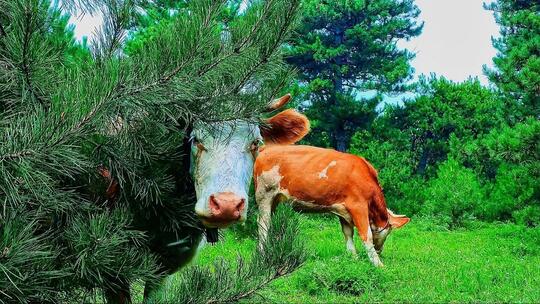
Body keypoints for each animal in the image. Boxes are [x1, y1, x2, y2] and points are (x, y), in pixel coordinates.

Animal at [255, 145, 412, 266]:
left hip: (275, 200)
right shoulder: (358, 206)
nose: (379, 250)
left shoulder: (343, 209)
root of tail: (267, 148)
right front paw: (378, 264)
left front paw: (353, 257)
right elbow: (365, 234)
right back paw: (262, 255)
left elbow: (348, 233)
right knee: (264, 224)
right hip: (264, 195)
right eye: (388, 233)